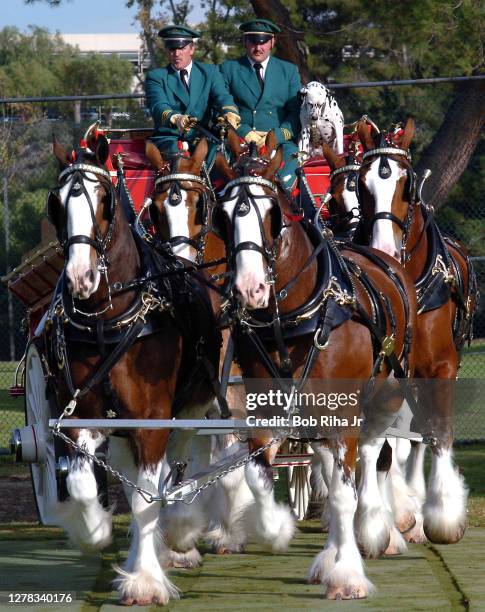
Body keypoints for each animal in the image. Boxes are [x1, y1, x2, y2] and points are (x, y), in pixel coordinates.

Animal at [46, 131, 218, 604]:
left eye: (105, 199)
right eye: (56, 203)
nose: (80, 277)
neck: (107, 320)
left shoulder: (153, 418)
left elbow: (147, 499)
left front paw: (144, 580)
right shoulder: (82, 414)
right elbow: (84, 484)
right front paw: (94, 530)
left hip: (191, 408)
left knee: (175, 470)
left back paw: (178, 537)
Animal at [214, 130, 418, 596]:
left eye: (272, 215)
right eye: (223, 216)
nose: (250, 289)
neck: (295, 320)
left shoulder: (342, 413)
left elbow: (345, 492)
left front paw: (348, 575)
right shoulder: (263, 409)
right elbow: (258, 475)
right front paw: (276, 527)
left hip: (384, 395)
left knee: (371, 455)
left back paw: (373, 529)